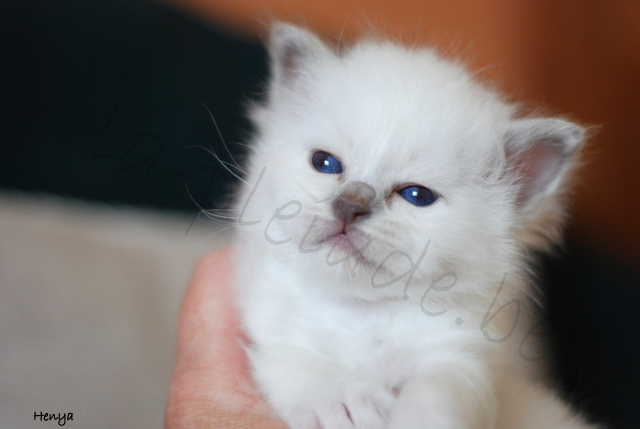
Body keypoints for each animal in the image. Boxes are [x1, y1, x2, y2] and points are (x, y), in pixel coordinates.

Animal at [231, 24, 600, 428]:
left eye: (416, 196)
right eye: (325, 163)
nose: (349, 205)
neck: (361, 314)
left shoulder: (459, 357)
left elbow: (436, 391)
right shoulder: (270, 321)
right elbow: (297, 357)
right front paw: (345, 401)